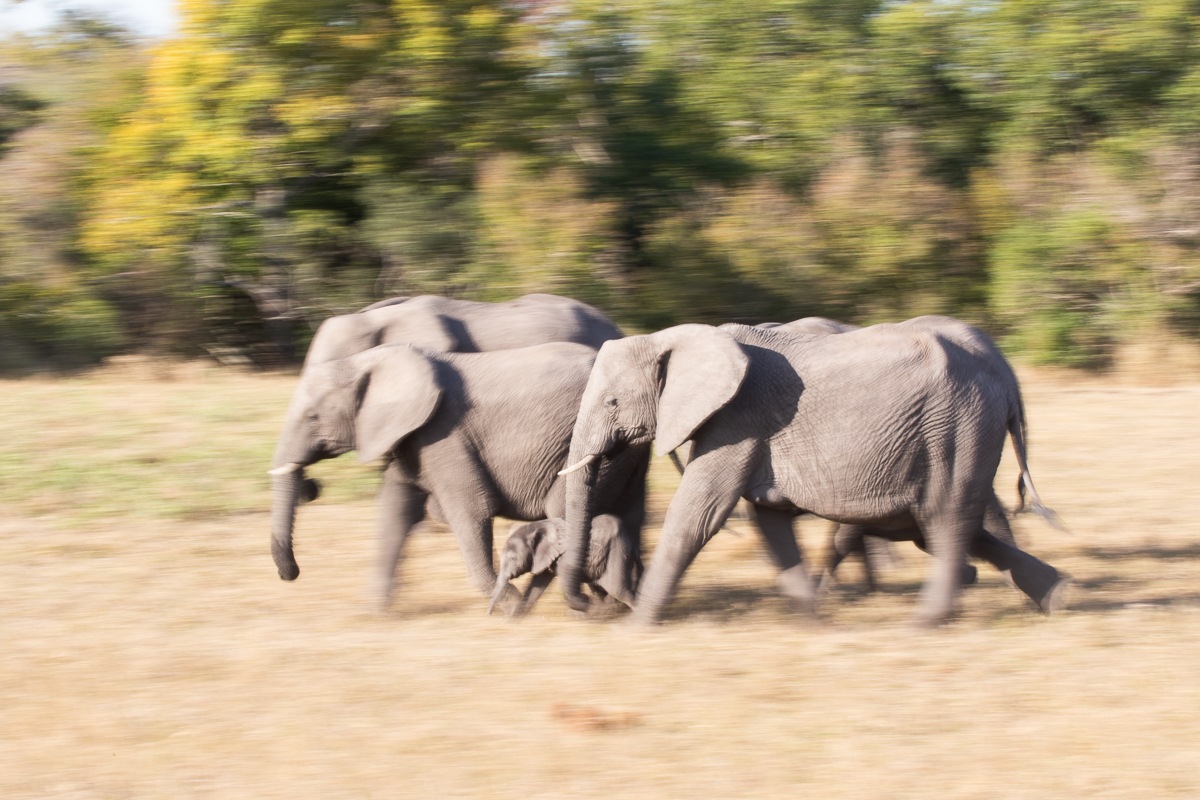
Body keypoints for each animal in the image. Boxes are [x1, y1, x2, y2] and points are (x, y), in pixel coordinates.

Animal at [487, 515, 640, 617]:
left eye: (513, 559)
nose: (490, 615)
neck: (536, 526)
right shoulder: (545, 557)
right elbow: (536, 586)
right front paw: (515, 620)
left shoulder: (565, 557)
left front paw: (590, 605)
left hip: (617, 549)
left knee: (618, 589)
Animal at [558, 322, 1068, 626]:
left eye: (612, 402)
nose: (589, 605)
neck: (672, 337)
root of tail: (1005, 373)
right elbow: (769, 519)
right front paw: (815, 620)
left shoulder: (737, 418)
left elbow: (698, 515)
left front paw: (637, 627)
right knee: (942, 525)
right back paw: (1057, 596)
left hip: (957, 427)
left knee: (945, 518)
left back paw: (924, 622)